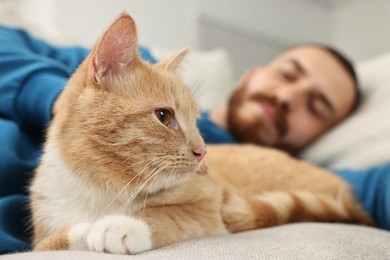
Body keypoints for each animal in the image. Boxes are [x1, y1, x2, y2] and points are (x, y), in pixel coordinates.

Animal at [29, 12, 372, 254]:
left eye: (196, 121)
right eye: (164, 116)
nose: (202, 152)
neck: (104, 189)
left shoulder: (210, 205)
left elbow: (167, 216)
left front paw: (122, 225)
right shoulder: (43, 236)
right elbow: (63, 236)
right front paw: (89, 229)